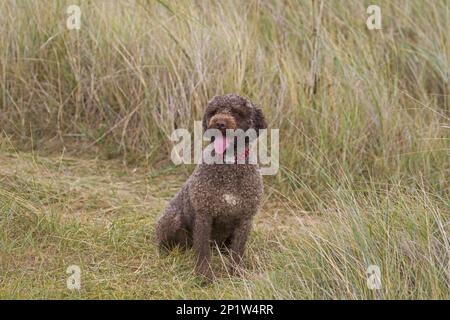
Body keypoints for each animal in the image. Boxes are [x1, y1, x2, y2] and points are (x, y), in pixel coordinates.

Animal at [156, 93, 268, 280]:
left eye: (237, 111)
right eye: (214, 111)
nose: (219, 123)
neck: (228, 166)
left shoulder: (245, 219)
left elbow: (238, 251)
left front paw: (236, 273)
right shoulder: (204, 216)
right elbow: (202, 250)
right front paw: (204, 275)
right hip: (172, 220)